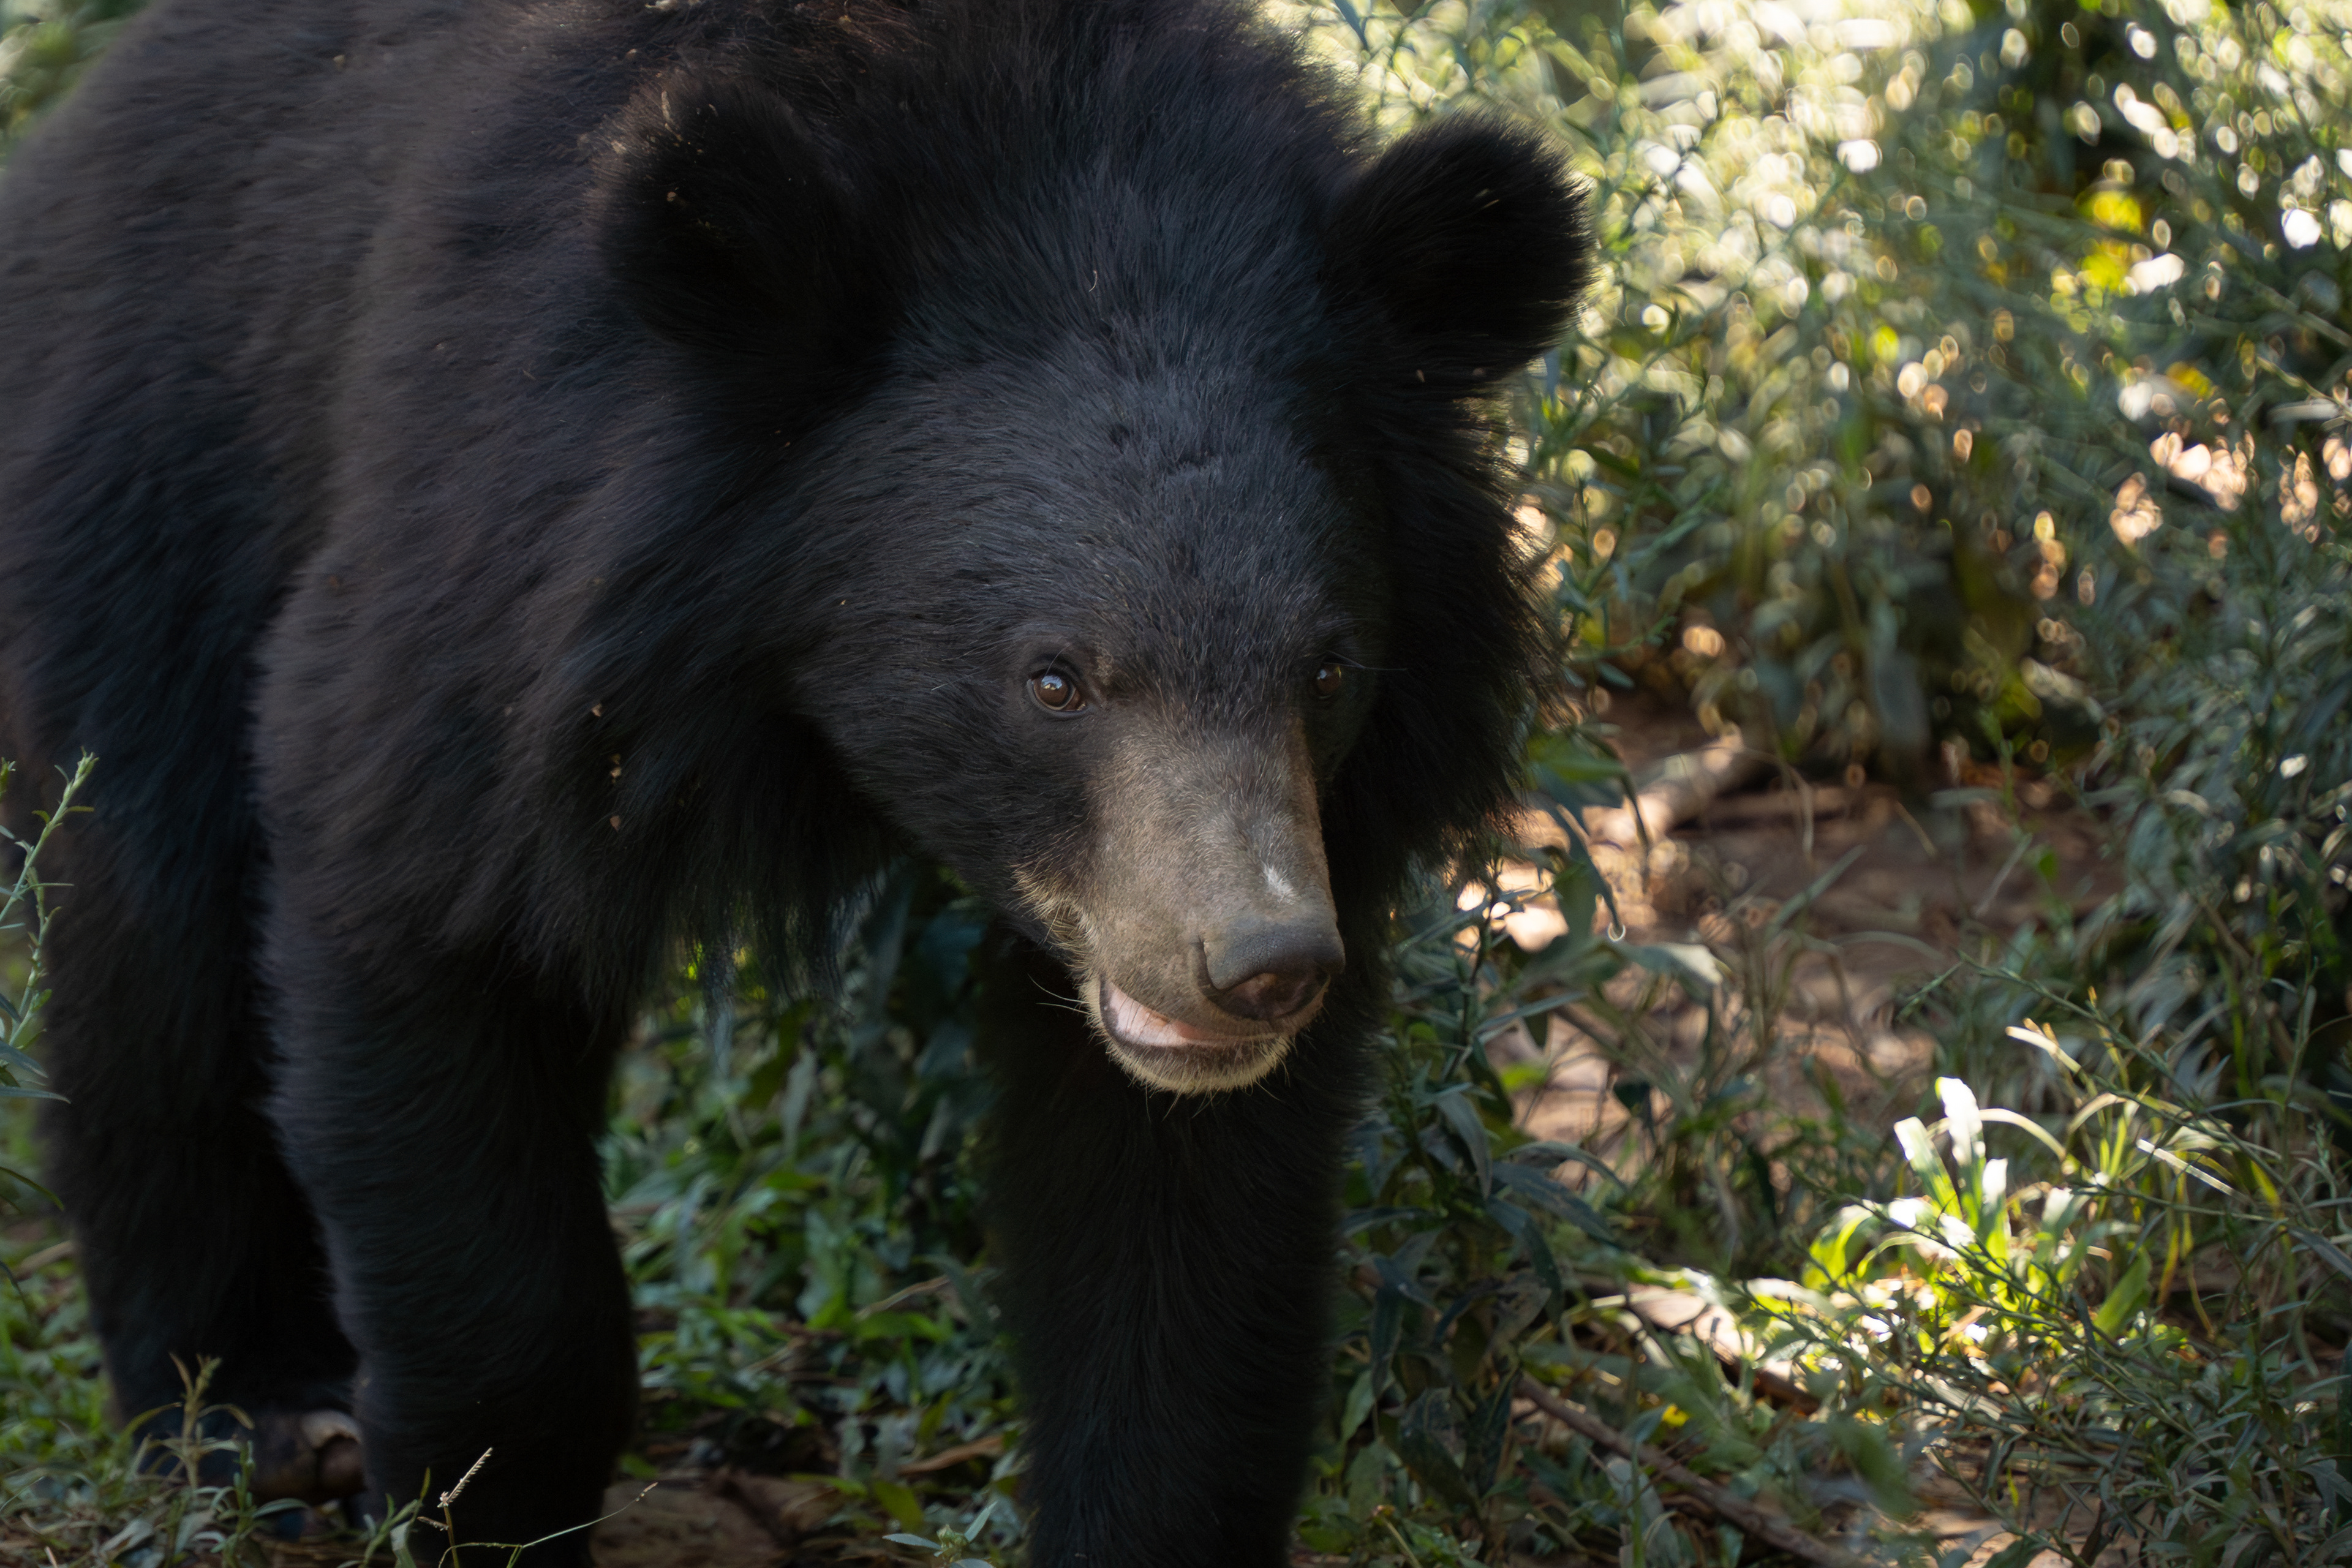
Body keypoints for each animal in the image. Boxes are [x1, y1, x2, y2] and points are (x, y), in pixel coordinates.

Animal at [0, 0, 1588, 1561]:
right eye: (1053, 678)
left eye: (1325, 669)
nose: (1260, 965)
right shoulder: (501, 559)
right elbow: (417, 905)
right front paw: (477, 1502)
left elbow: (1183, 1238)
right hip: (157, 455)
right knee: (156, 922)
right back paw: (255, 1408)